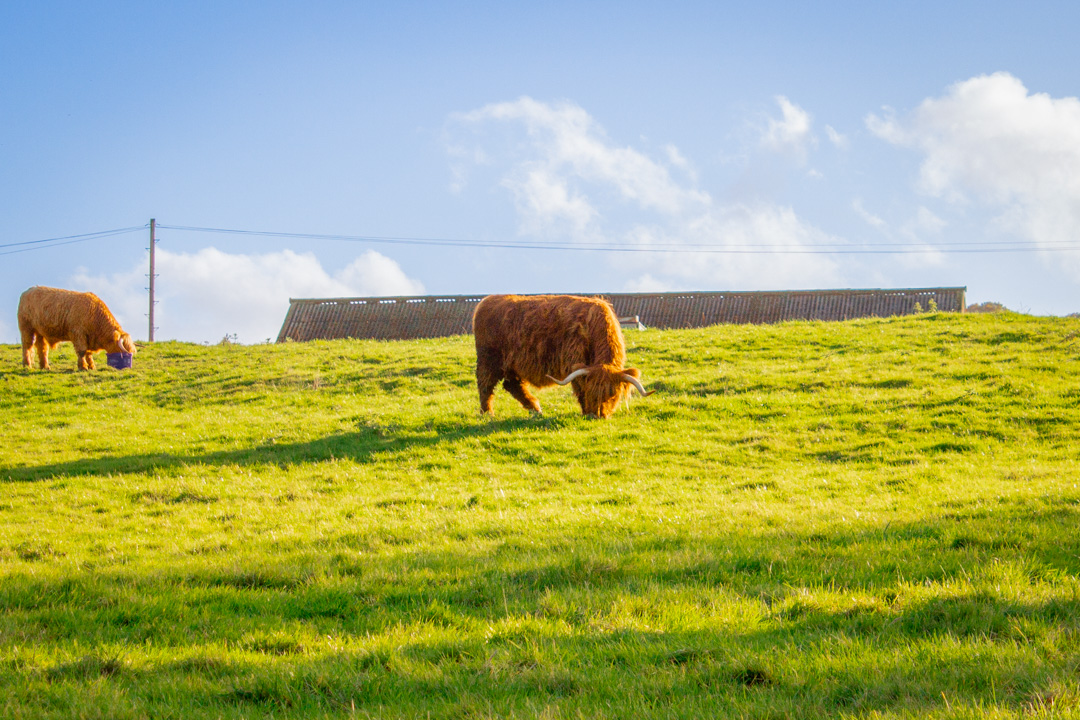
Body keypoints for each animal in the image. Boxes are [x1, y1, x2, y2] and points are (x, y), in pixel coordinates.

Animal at [472, 294, 652, 419]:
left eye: (612, 394)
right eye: (591, 392)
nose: (597, 415)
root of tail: (487, 300)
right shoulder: (574, 360)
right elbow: (579, 387)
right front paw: (584, 411)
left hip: (511, 365)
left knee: (513, 385)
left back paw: (536, 410)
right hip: (489, 359)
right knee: (485, 385)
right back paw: (487, 414)